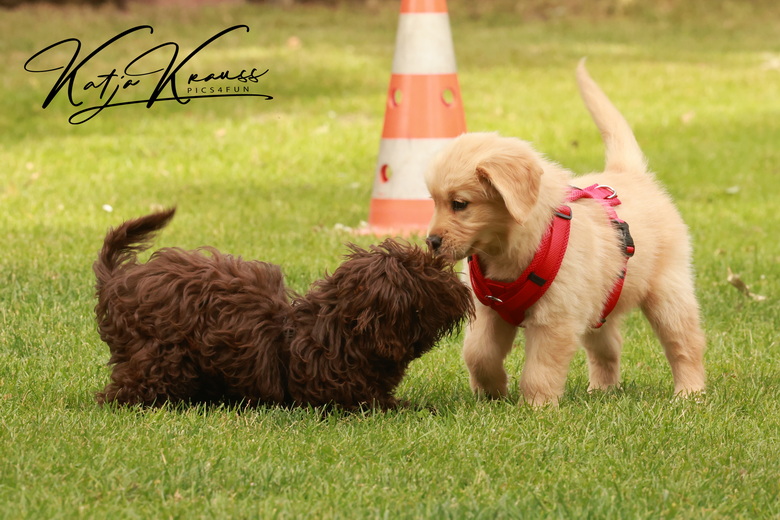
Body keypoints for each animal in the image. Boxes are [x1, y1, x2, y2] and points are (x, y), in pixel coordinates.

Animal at [426, 62, 708, 406]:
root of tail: (628, 173)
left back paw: (690, 392)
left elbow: (540, 369)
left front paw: (536, 406)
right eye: (434, 201)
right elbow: (478, 354)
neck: (512, 247)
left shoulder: (555, 319)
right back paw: (602, 389)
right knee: (608, 347)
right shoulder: (489, 310)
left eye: (459, 204)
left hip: (668, 291)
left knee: (685, 343)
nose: (431, 242)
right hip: (599, 302)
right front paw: (492, 392)